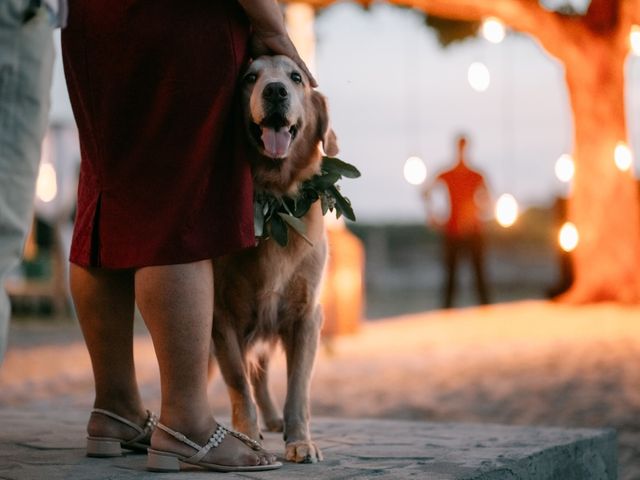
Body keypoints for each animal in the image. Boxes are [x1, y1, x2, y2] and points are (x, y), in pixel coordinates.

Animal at [211, 54, 338, 464]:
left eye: (296, 77)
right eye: (249, 78)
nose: (275, 91)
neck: (273, 197)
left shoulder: (305, 317)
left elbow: (297, 389)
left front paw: (300, 441)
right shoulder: (223, 317)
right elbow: (237, 381)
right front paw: (247, 438)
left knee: (261, 374)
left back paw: (272, 419)